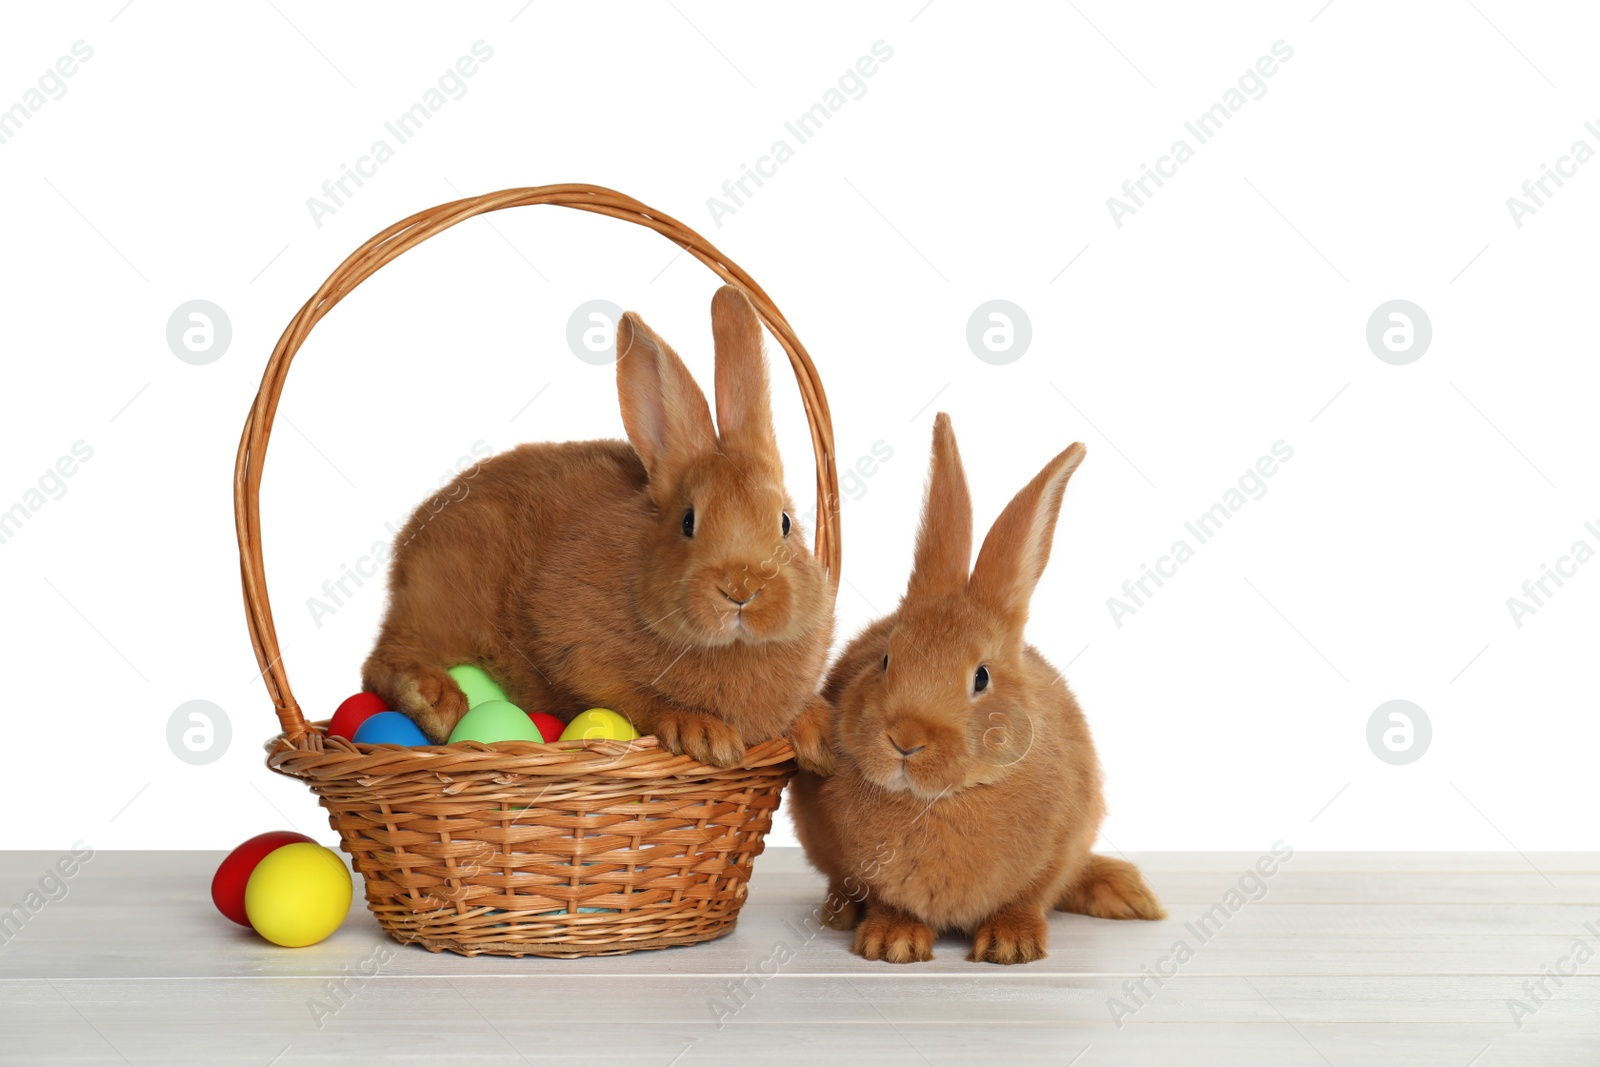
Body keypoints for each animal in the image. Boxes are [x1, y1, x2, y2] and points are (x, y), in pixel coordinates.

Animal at [364, 283, 838, 771]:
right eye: (687, 521)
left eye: (785, 522)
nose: (742, 589)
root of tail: (413, 534)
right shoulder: (581, 656)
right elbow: (637, 699)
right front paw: (704, 733)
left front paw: (823, 735)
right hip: (445, 602)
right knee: (385, 658)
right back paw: (434, 702)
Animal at [793, 412, 1171, 966]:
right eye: (885, 659)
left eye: (981, 677)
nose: (905, 739)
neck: (943, 798)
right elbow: (886, 899)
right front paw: (891, 943)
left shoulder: (1056, 851)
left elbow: (1028, 897)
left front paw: (1010, 946)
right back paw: (840, 913)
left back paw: (1128, 896)